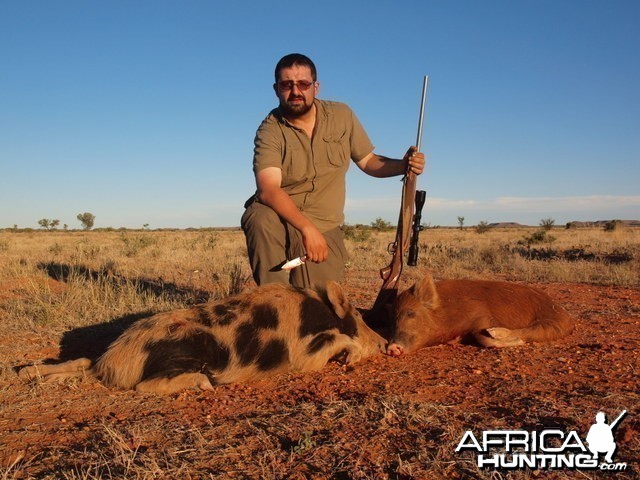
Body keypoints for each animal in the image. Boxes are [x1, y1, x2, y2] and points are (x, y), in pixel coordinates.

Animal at [18, 282, 384, 394]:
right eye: (359, 317)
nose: (384, 343)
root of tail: (111, 363)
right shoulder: (302, 356)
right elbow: (341, 341)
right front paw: (351, 356)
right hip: (188, 347)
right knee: (145, 386)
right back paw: (206, 383)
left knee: (82, 359)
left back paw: (26, 372)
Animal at [388, 270, 572, 356]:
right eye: (393, 319)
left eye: (411, 313)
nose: (391, 347)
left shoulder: (481, 316)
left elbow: (484, 337)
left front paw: (493, 335)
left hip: (552, 321)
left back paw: (497, 333)